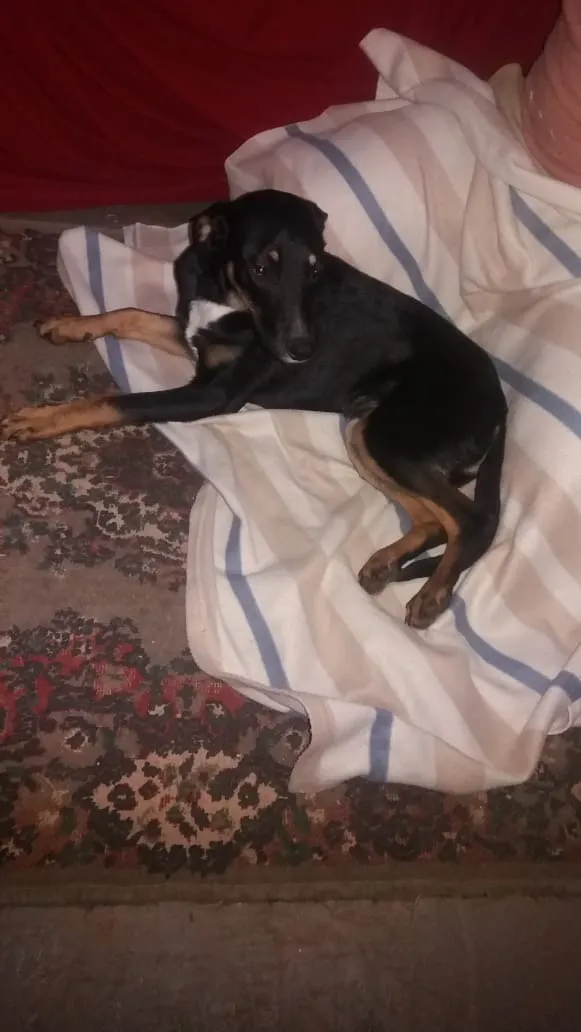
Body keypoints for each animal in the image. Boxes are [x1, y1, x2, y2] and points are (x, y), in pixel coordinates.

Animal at [0, 188, 507, 629]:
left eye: (314, 268)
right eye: (262, 267)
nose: (302, 351)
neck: (226, 294)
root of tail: (502, 408)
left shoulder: (211, 394)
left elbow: (114, 400)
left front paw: (40, 418)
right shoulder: (193, 340)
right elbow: (129, 314)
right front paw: (69, 325)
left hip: (391, 438)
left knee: (473, 520)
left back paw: (432, 593)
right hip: (363, 437)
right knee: (434, 521)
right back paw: (386, 563)